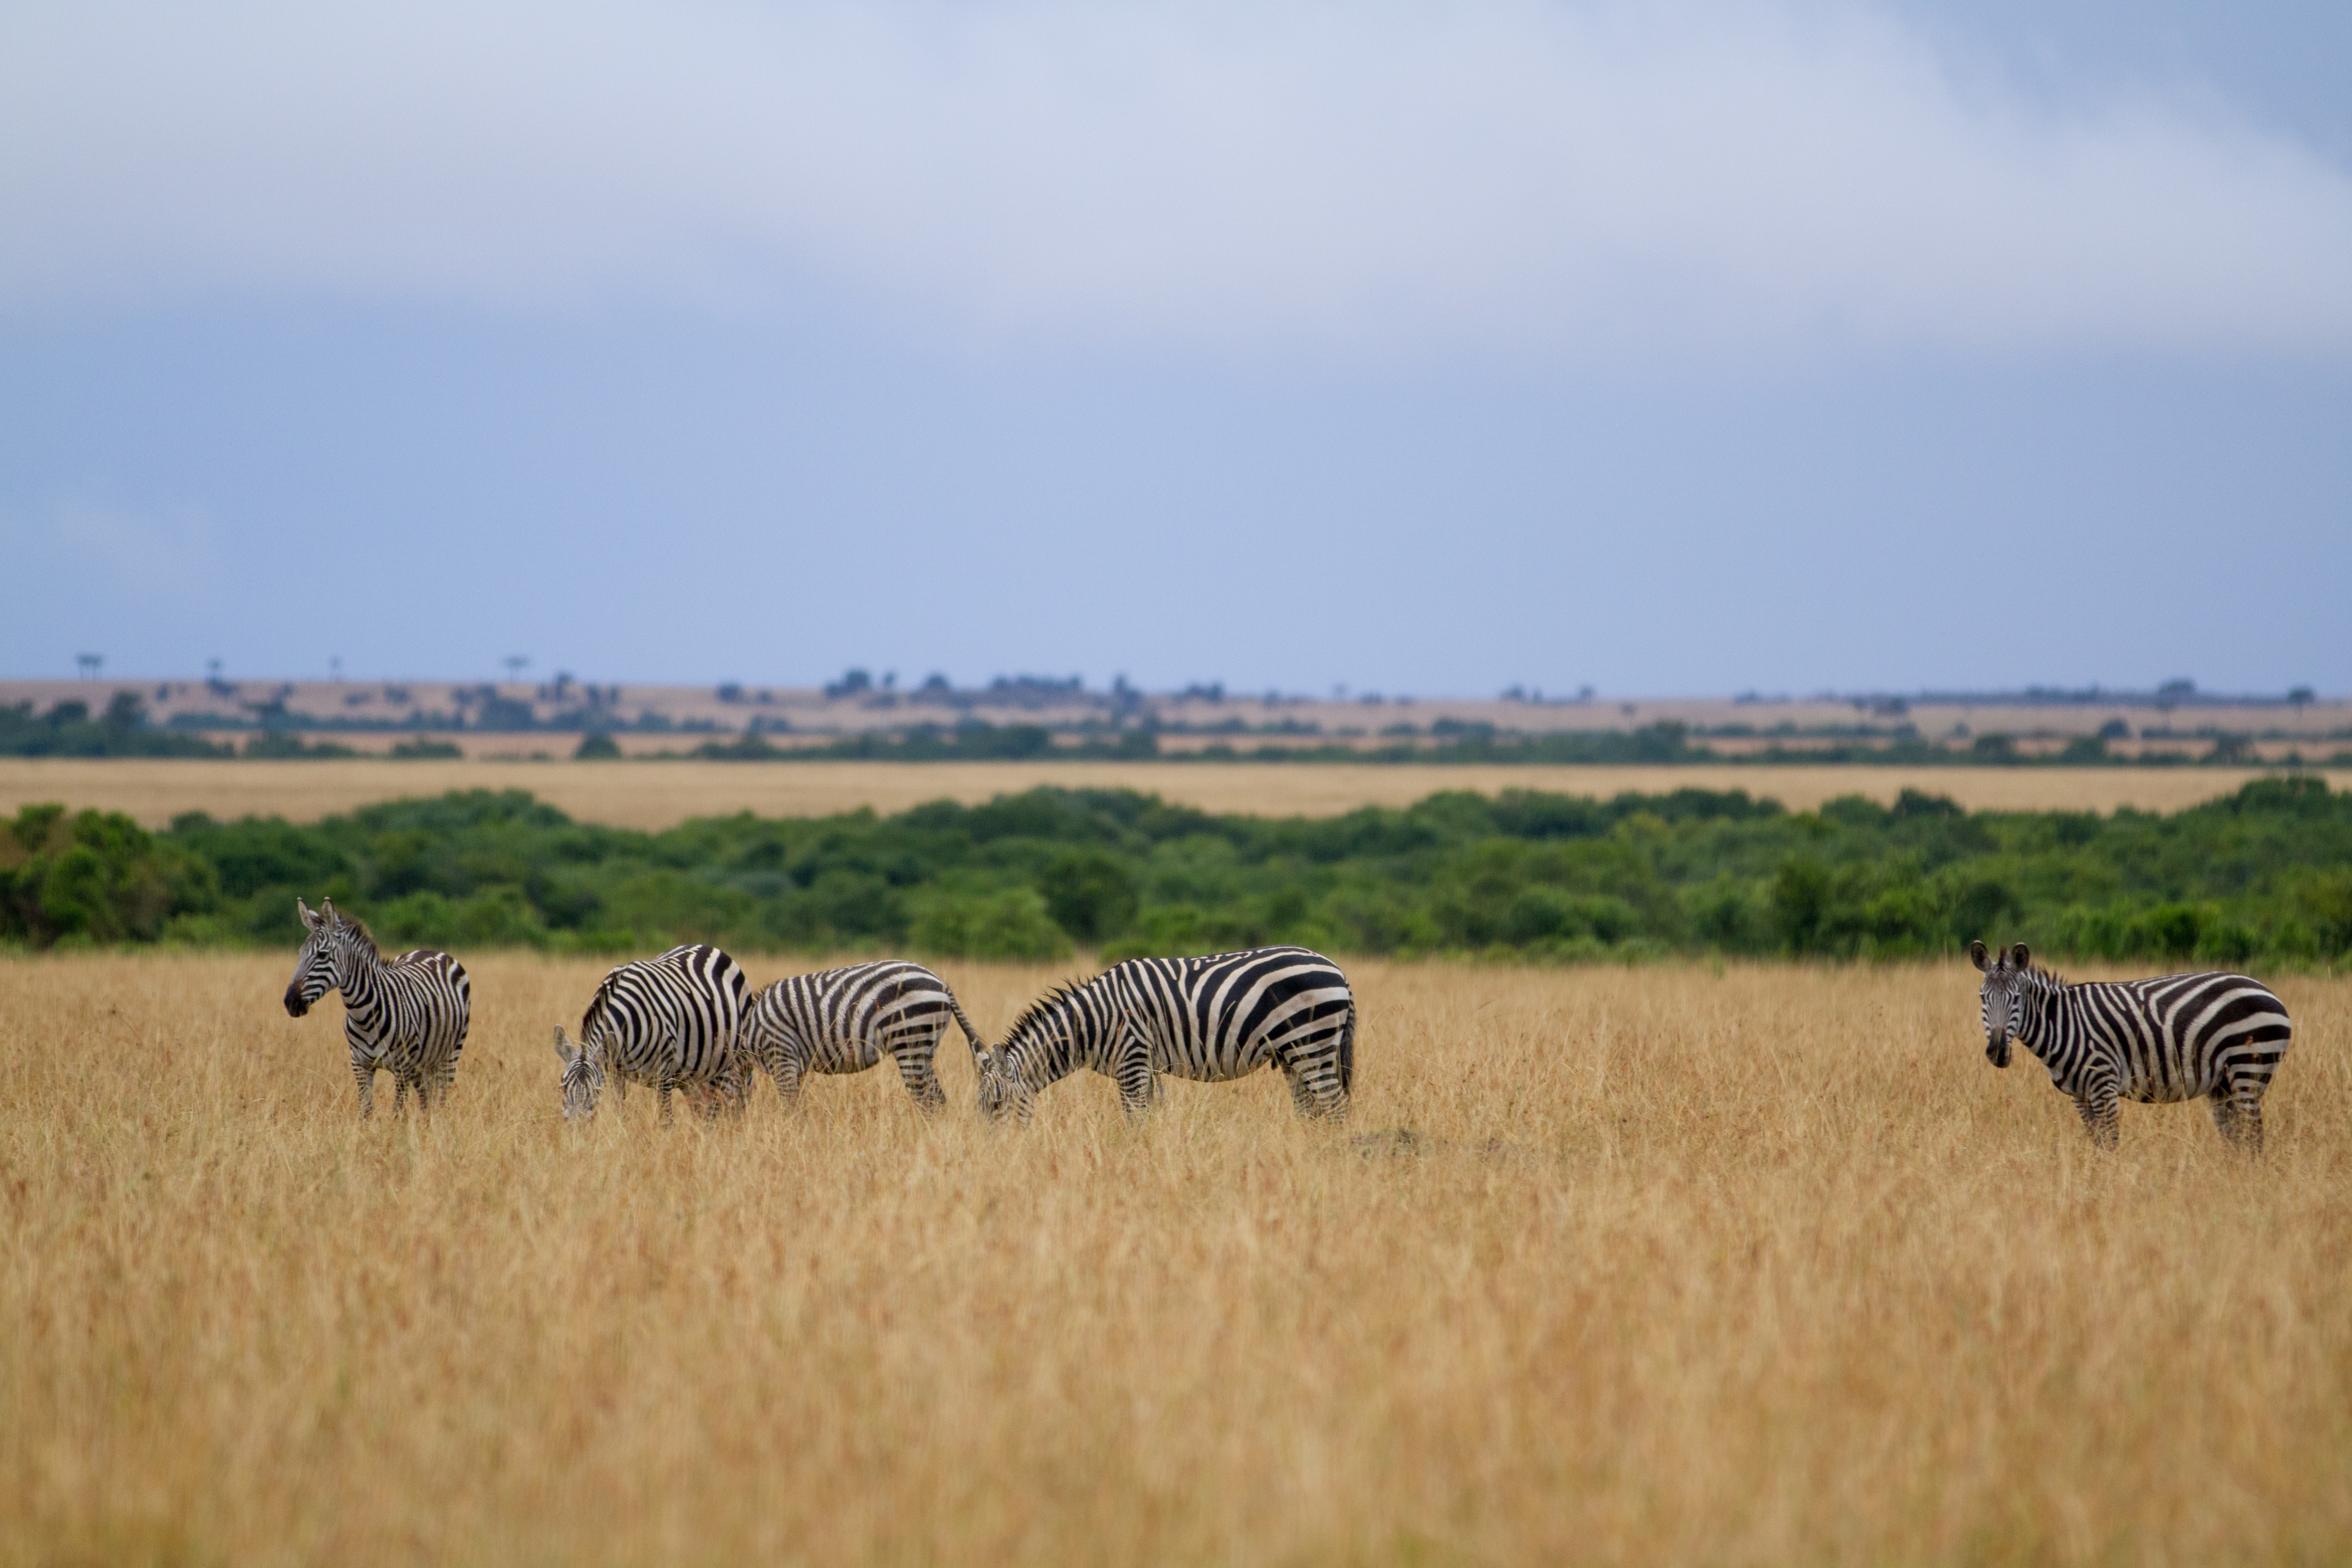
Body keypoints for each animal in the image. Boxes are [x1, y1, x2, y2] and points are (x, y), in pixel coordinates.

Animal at [282, 896, 470, 1118]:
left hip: (450, 1054)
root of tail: (432, 950)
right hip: (423, 1063)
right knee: (426, 1099)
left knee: (441, 1098)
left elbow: (398, 1112)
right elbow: (365, 1110)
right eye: (300, 954)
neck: (363, 1015)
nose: (290, 1002)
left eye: (322, 955)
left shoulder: (403, 1067)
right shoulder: (360, 1065)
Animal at [553, 943, 749, 1123]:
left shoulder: (664, 1070)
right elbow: (619, 1112)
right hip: (693, 1074)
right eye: (563, 1087)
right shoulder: (613, 1073)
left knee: (725, 1107)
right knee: (702, 1110)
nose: (576, 1130)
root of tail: (706, 947)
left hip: (729, 1061)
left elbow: (666, 1119)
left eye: (596, 1091)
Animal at [742, 959, 988, 1112]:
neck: (750, 1028)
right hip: (925, 1047)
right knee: (937, 1099)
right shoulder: (796, 1065)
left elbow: (789, 1106)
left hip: (910, 1041)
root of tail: (943, 984)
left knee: (926, 1099)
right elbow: (797, 1104)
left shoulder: (782, 1054)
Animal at [977, 945, 1355, 1124]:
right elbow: (1151, 1116)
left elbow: (1135, 1120)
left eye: (996, 1105)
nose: (994, 1158)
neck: (1094, 1023)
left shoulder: (1132, 1061)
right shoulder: (1147, 1067)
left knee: (1335, 1108)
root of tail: (1337, 969)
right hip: (1292, 1054)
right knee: (1310, 1110)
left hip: (1313, 1042)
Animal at [1971, 940, 2293, 1151]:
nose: (1998, 1052)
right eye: (1983, 998)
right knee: (2236, 1140)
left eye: (2017, 999)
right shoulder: (2080, 1096)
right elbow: (2097, 1145)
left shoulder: (2103, 1085)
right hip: (2222, 1085)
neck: (2063, 1023)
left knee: (2254, 1139)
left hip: (2249, 1069)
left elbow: (2111, 1145)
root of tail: (2269, 991)